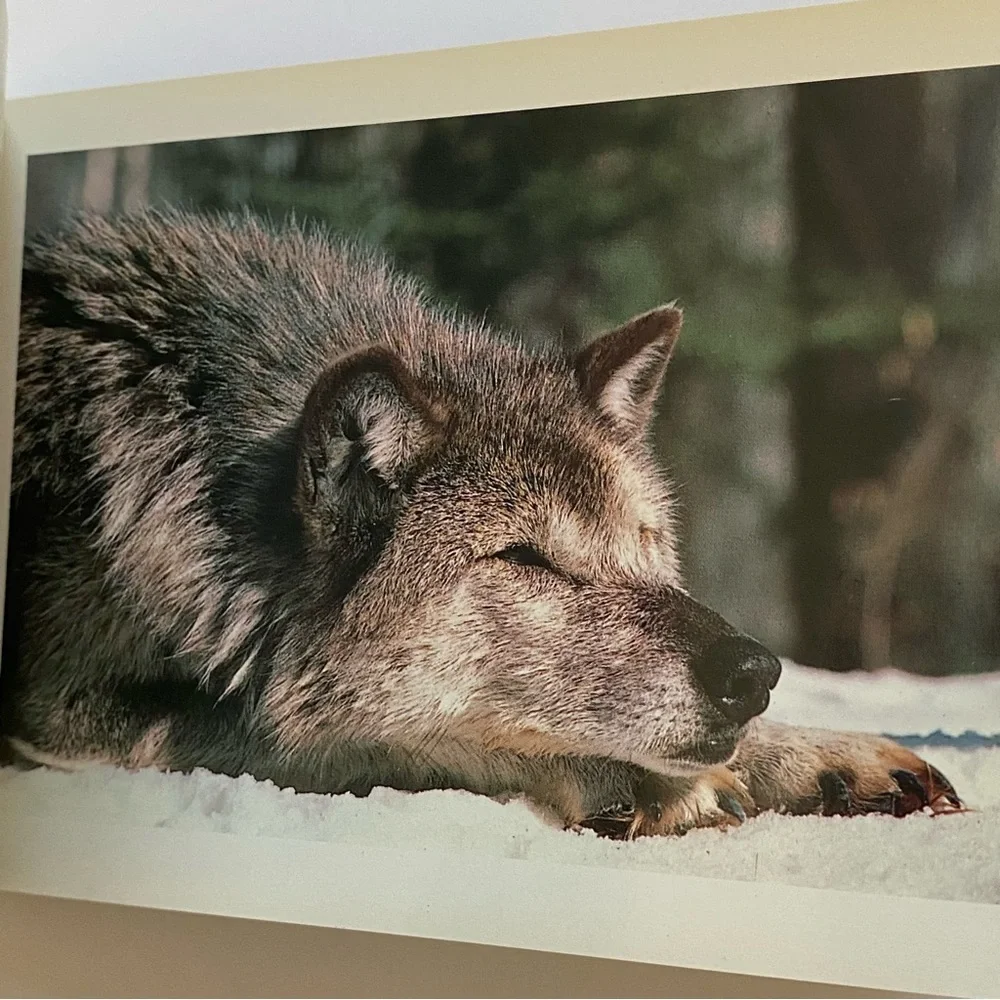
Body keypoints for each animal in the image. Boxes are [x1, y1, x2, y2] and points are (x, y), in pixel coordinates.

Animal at [0, 209, 960, 836]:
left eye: (647, 546)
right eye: (528, 560)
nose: (753, 672)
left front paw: (819, 756)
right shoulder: (65, 708)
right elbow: (375, 744)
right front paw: (640, 783)